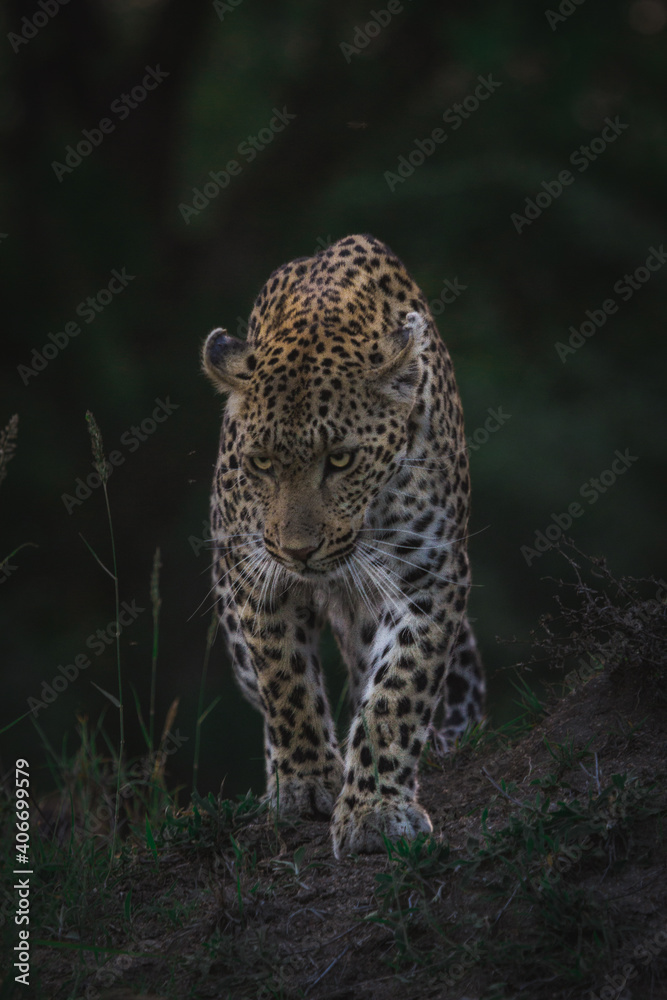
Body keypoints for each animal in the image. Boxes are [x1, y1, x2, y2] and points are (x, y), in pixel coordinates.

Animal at [202, 233, 485, 858]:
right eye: (262, 463)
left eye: (340, 459)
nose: (297, 551)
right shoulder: (254, 574)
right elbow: (285, 682)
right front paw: (306, 783)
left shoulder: (430, 575)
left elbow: (397, 692)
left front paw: (374, 808)